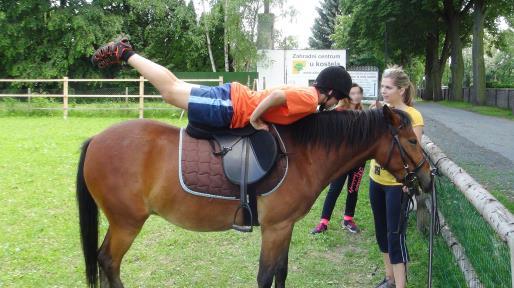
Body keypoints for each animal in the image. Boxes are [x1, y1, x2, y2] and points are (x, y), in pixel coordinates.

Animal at [75, 106, 428, 288]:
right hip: (127, 224)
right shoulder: (274, 229)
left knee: (104, 261)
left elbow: (281, 272)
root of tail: (96, 140)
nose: (426, 176)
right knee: (109, 262)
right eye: (411, 140)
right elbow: (265, 276)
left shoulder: (284, 227)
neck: (302, 154)